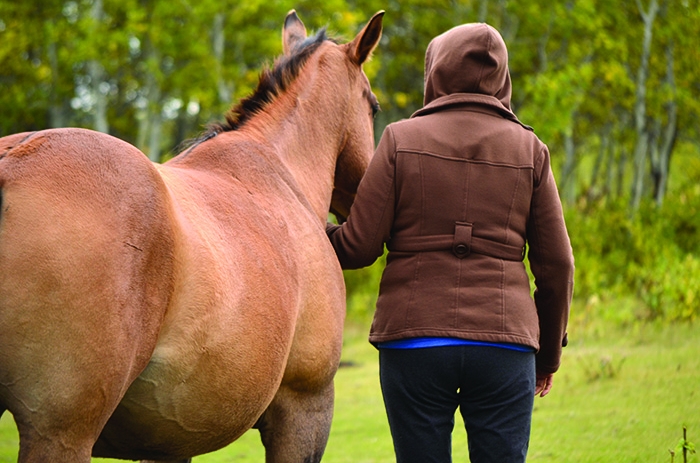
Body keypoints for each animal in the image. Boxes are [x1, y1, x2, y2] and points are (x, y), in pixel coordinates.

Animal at [0, 10, 382, 463]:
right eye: (374, 106)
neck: (281, 170)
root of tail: (10, 164)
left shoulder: (168, 439)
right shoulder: (305, 408)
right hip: (61, 431)